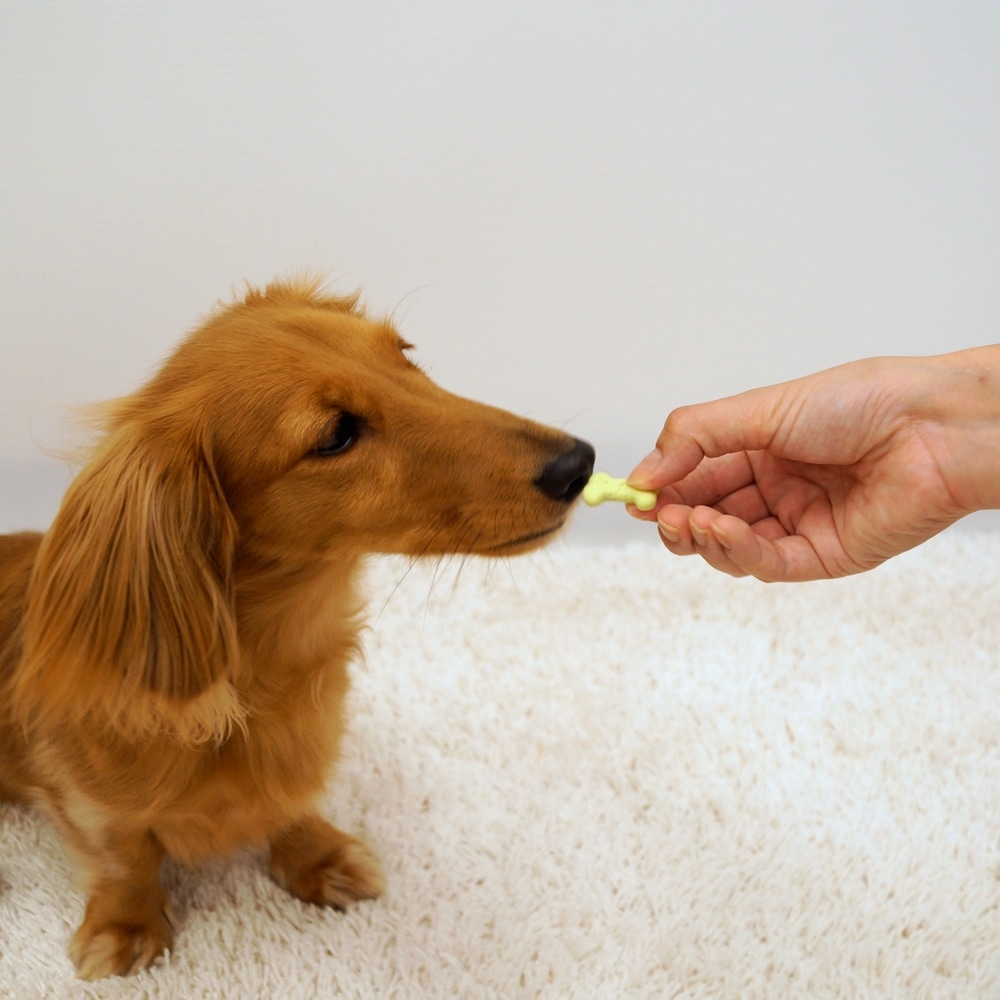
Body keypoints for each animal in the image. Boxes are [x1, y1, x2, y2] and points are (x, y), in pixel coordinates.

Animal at [0, 278, 592, 980]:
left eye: (404, 356)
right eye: (335, 434)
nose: (578, 463)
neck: (266, 668)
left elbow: (293, 804)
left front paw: (317, 857)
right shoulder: (83, 794)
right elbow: (121, 854)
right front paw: (126, 925)